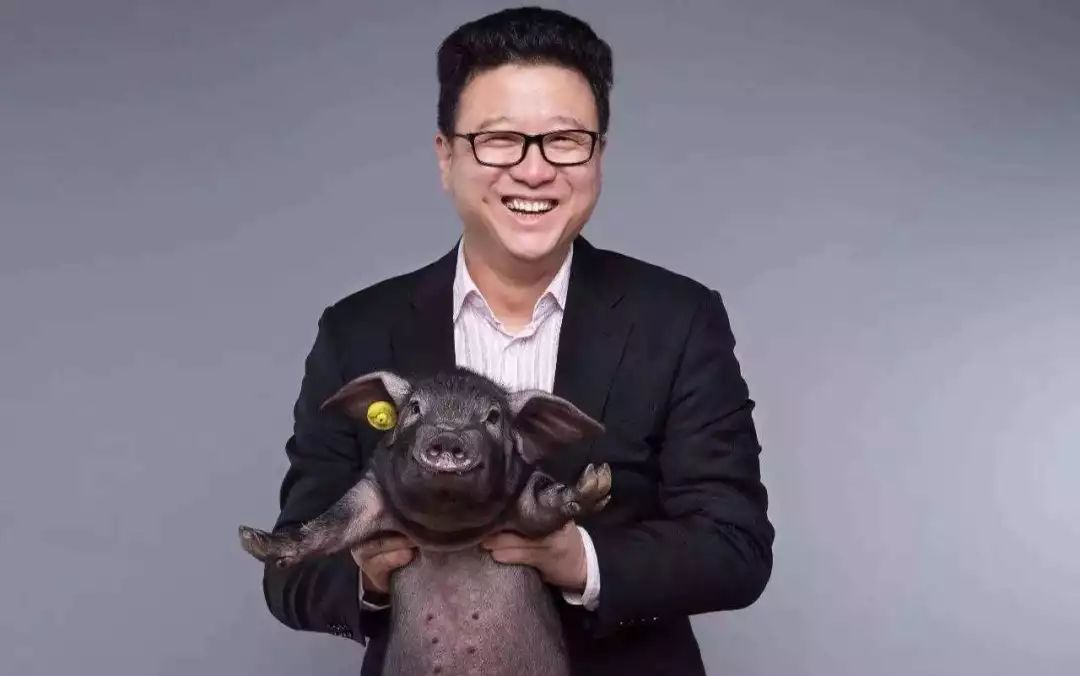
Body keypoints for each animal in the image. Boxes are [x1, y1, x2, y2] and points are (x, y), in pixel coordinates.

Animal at [238, 366, 612, 676]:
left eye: (492, 417)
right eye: (415, 408)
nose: (448, 436)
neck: (446, 529)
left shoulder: (522, 498)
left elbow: (541, 505)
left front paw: (596, 481)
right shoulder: (370, 495)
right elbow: (332, 524)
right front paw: (251, 539)